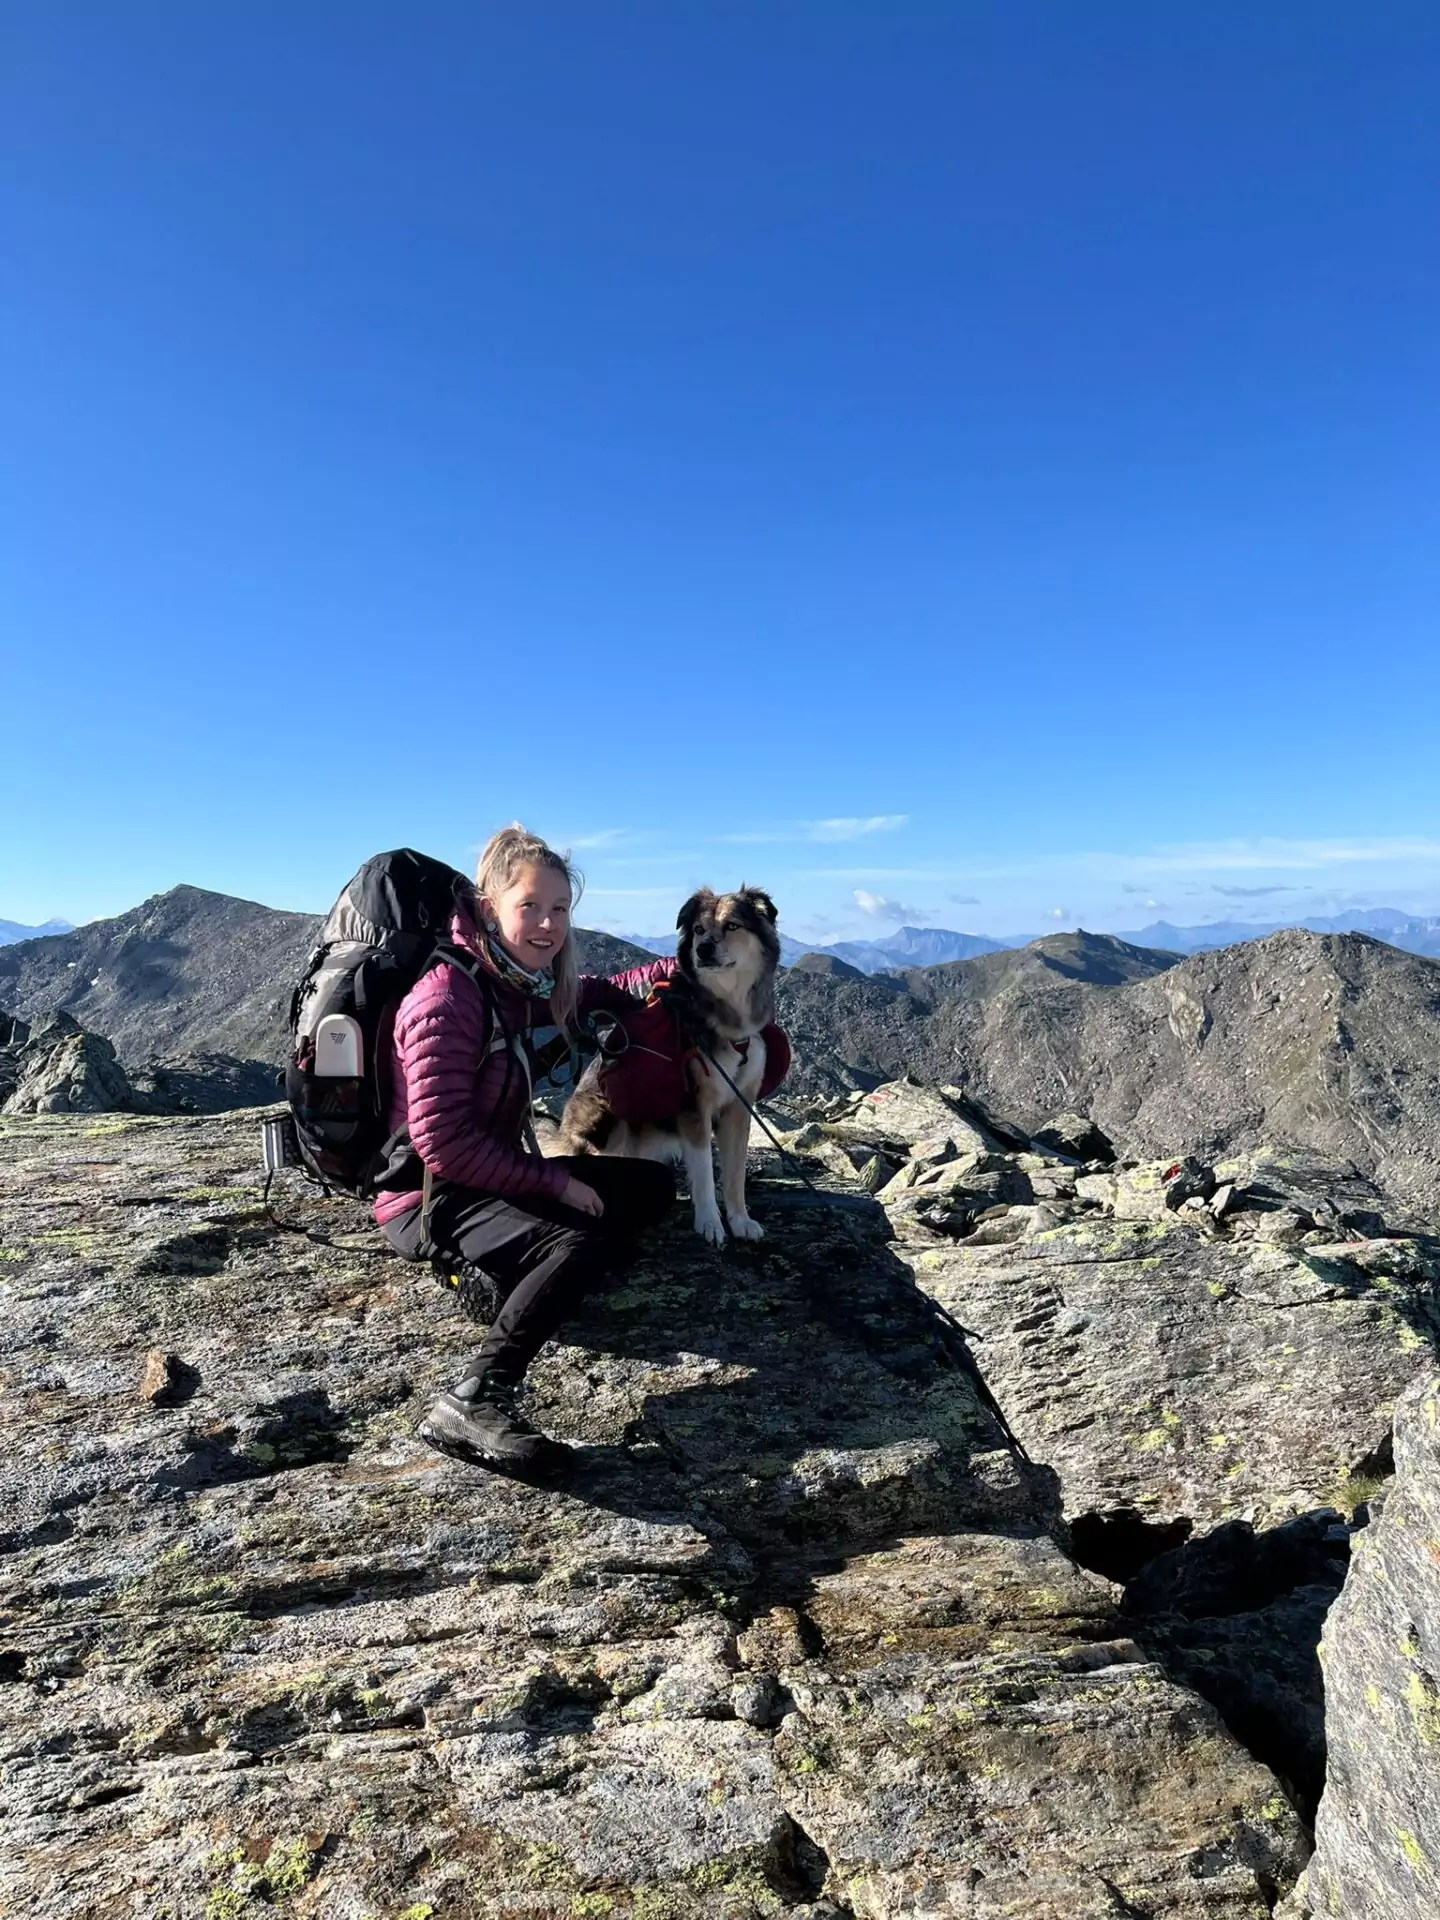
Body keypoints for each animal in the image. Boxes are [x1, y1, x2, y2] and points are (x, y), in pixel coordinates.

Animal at [558, 887, 781, 1245]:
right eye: (699, 930)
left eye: (732, 925)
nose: (703, 949)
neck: (726, 1017)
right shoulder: (693, 1104)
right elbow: (704, 1172)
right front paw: (710, 1223)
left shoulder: (739, 1105)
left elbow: (735, 1174)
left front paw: (740, 1220)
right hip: (605, 1115)